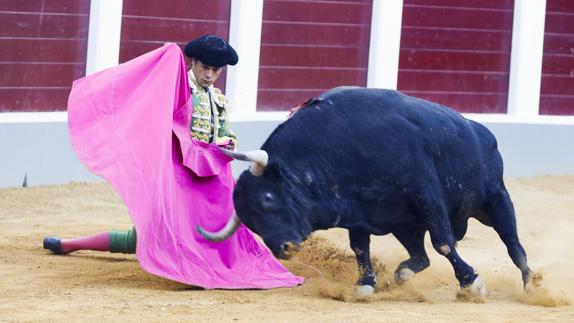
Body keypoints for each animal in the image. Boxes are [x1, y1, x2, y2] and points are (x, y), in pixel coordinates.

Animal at [198, 87, 536, 298]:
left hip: (496, 200)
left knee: (514, 246)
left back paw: (532, 285)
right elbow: (360, 248)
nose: (284, 249)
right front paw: (366, 285)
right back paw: (402, 275)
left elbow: (443, 242)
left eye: (268, 199)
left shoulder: (426, 196)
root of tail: (483, 132)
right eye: (251, 223)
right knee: (420, 256)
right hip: (406, 226)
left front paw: (472, 283)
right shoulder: (358, 213)